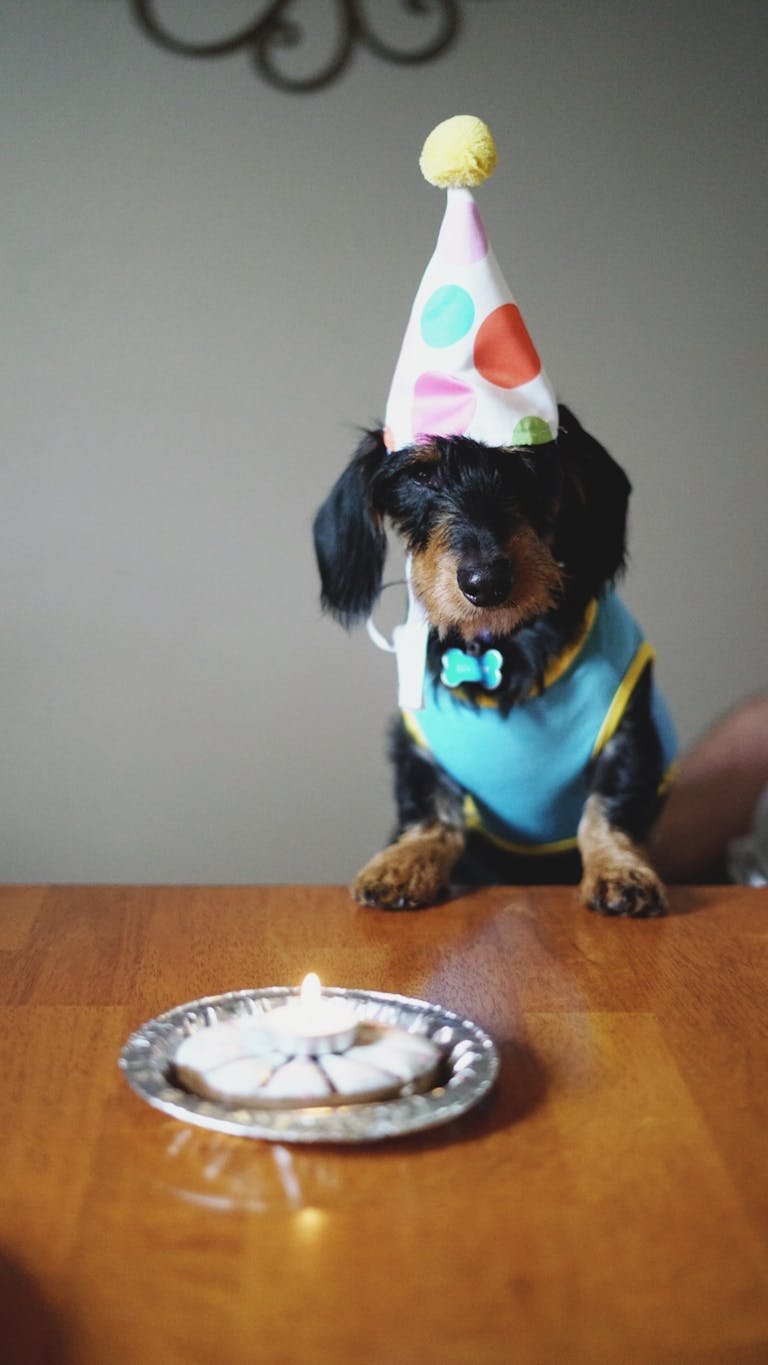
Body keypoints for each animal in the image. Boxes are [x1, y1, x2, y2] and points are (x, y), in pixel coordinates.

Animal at [311, 404, 673, 917]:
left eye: (526, 463)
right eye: (420, 475)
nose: (486, 583)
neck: (501, 645)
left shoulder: (630, 735)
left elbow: (608, 809)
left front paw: (621, 871)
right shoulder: (417, 751)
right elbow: (431, 813)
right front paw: (402, 864)